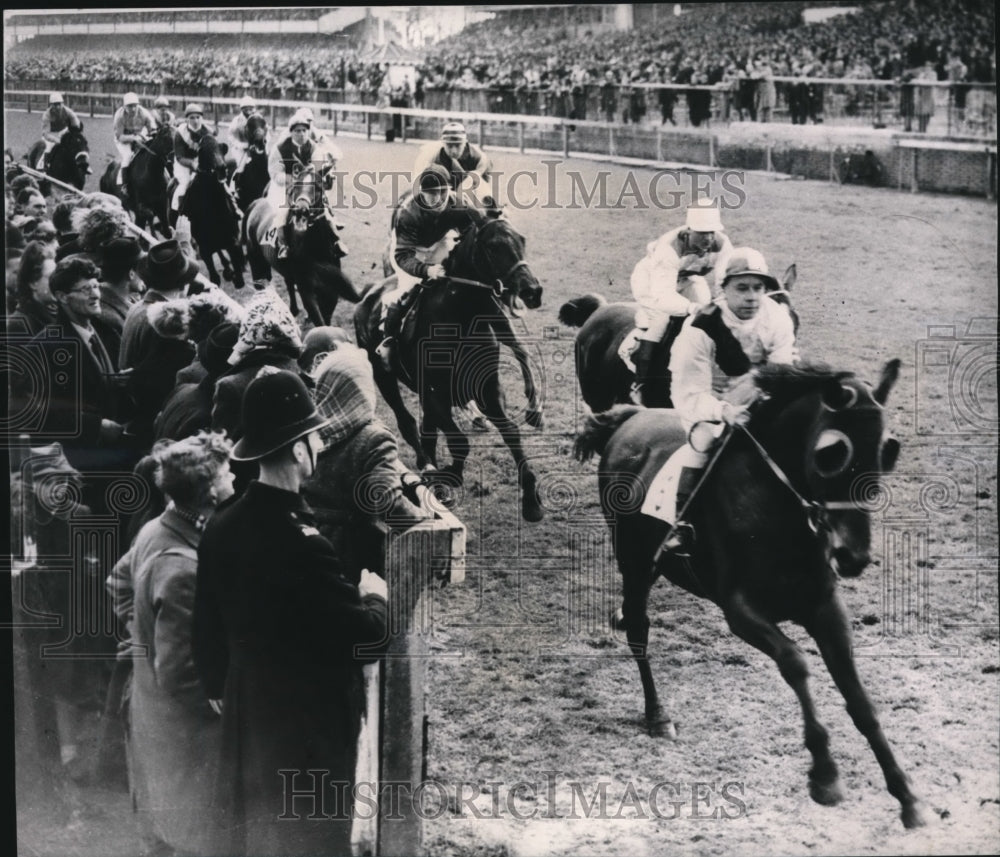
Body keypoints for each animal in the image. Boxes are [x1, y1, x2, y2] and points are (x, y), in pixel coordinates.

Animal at [184, 135, 246, 290]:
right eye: (203, 152)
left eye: (221, 149)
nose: (221, 168)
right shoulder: (204, 247)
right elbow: (214, 277)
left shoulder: (232, 239)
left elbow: (239, 276)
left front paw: (235, 272)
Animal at [245, 166, 362, 326]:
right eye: (296, 186)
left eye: (318, 187)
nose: (300, 210)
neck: (316, 248)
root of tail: (255, 204)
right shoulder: (306, 290)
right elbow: (319, 320)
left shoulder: (331, 288)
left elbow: (327, 317)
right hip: (256, 262)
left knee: (288, 282)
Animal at [356, 216, 548, 520]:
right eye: (492, 247)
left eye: (522, 240)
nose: (532, 291)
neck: (459, 319)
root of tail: (366, 296)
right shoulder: (435, 393)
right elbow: (459, 442)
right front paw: (448, 475)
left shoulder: (488, 388)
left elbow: (511, 433)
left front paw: (531, 499)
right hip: (383, 376)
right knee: (407, 423)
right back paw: (425, 465)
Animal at [576, 360, 924, 828]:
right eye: (832, 454)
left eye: (888, 451)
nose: (852, 556)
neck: (778, 511)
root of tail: (632, 417)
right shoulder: (741, 611)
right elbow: (795, 663)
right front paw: (825, 775)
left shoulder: (825, 607)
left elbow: (859, 700)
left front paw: (906, 794)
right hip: (634, 562)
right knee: (638, 628)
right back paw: (657, 714)